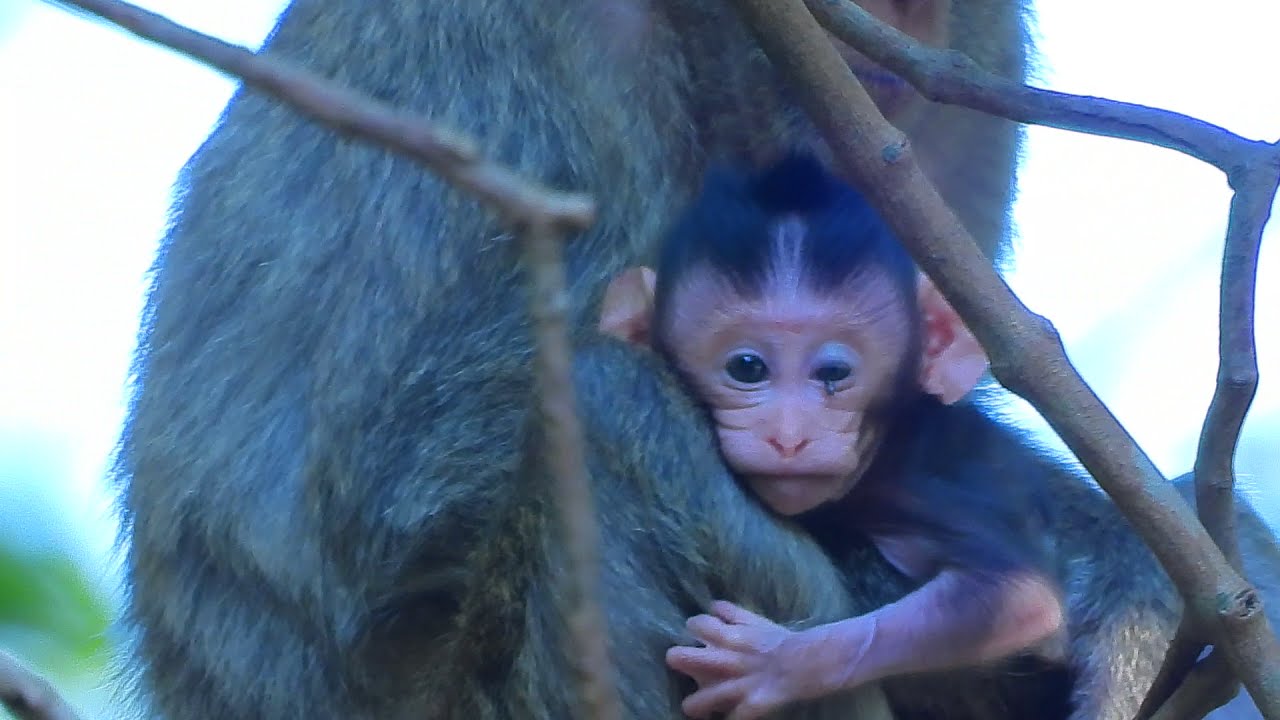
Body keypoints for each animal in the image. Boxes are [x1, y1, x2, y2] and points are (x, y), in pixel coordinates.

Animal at [598, 153, 1067, 720]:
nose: (788, 438)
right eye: (747, 367)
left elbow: (1021, 600)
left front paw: (782, 664)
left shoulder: (931, 483)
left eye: (834, 373)